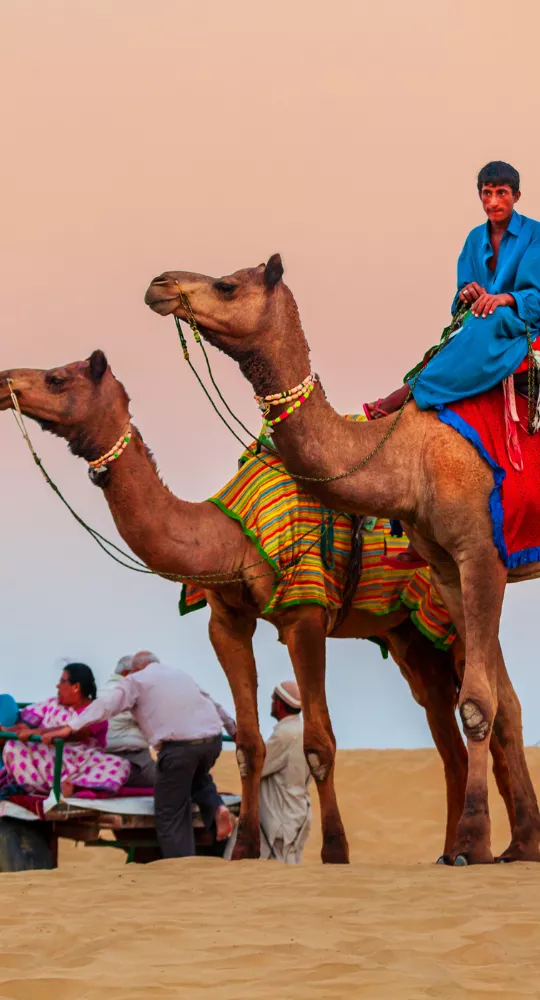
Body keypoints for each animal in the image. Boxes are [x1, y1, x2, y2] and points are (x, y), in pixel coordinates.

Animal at [0, 356, 512, 864]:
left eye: (56, 378)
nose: (6, 382)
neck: (229, 539)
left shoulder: (305, 612)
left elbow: (318, 742)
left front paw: (335, 851)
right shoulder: (227, 620)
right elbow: (248, 744)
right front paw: (244, 849)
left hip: (449, 603)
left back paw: (487, 848)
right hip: (409, 634)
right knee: (450, 737)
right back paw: (455, 851)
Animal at [144, 258, 540, 868]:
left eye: (227, 285)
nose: (161, 284)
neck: (410, 455)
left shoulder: (481, 555)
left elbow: (477, 703)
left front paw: (473, 844)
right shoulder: (447, 566)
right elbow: (495, 704)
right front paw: (496, 847)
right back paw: (520, 845)